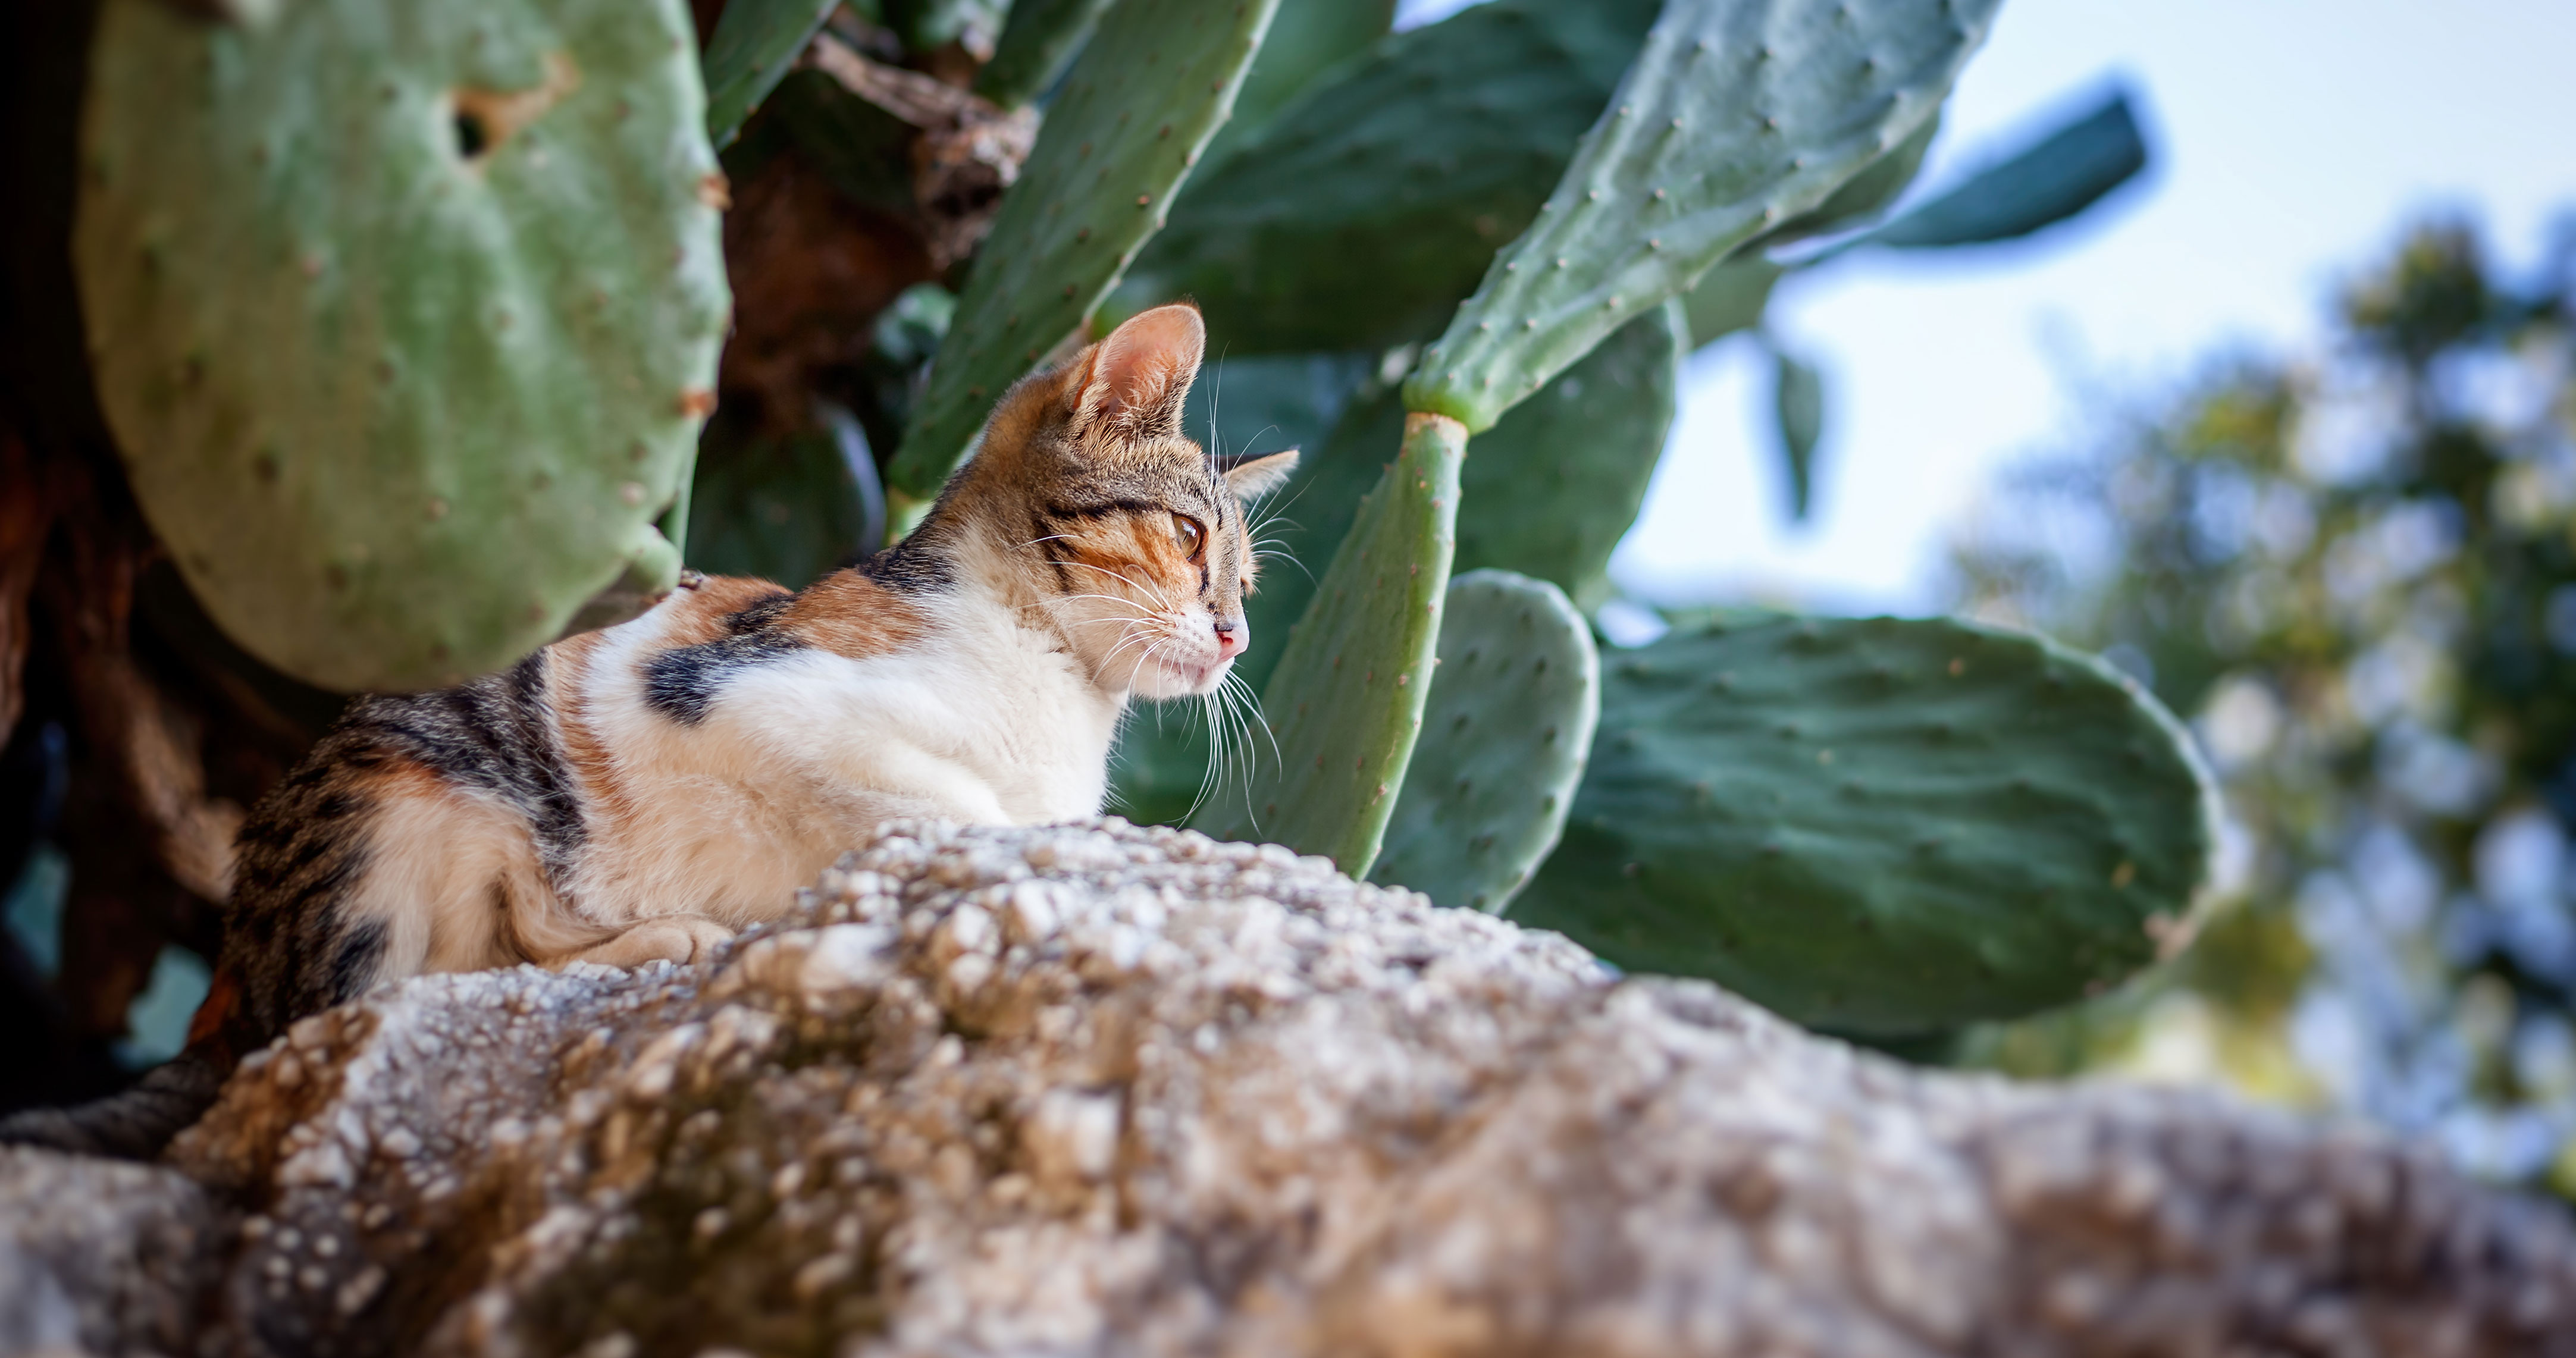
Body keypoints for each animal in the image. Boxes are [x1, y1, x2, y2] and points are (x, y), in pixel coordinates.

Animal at [0, 300, 1288, 1159]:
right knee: (361, 1003)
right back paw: (658, 935)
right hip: (399, 798)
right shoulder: (754, 696)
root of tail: (228, 963)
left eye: (1248, 580)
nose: (1232, 634)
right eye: (1185, 536)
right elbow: (954, 809)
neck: (1061, 687)